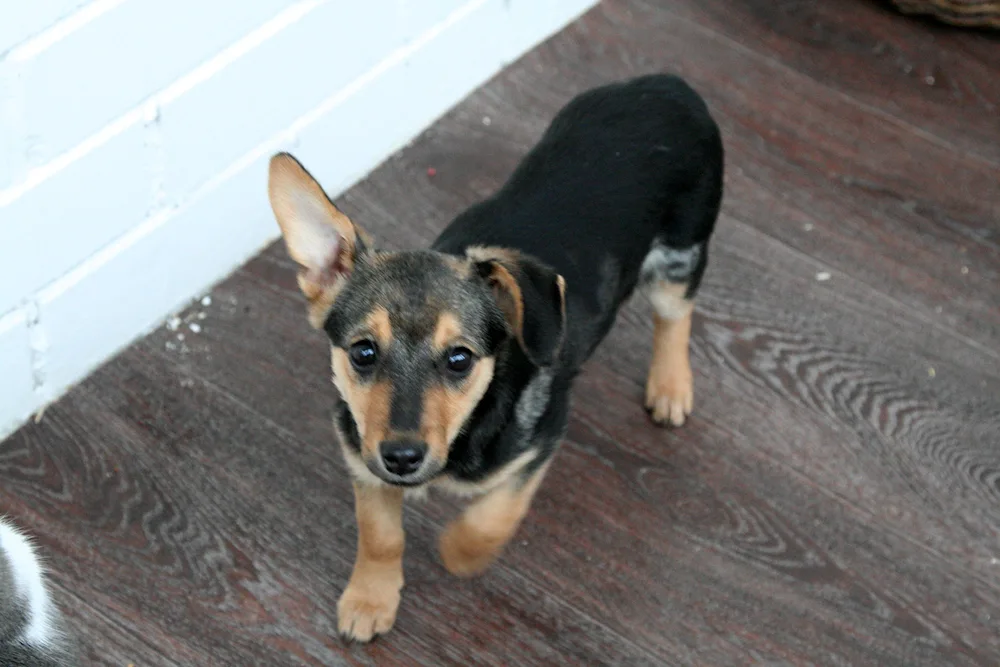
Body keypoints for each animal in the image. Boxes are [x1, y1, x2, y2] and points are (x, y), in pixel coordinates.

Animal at [266, 73, 720, 640]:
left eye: (460, 359)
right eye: (363, 352)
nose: (402, 457)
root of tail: (666, 83)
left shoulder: (541, 438)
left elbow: (494, 516)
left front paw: (458, 552)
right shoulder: (361, 457)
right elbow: (380, 534)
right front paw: (370, 599)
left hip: (682, 252)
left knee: (675, 317)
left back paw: (671, 387)